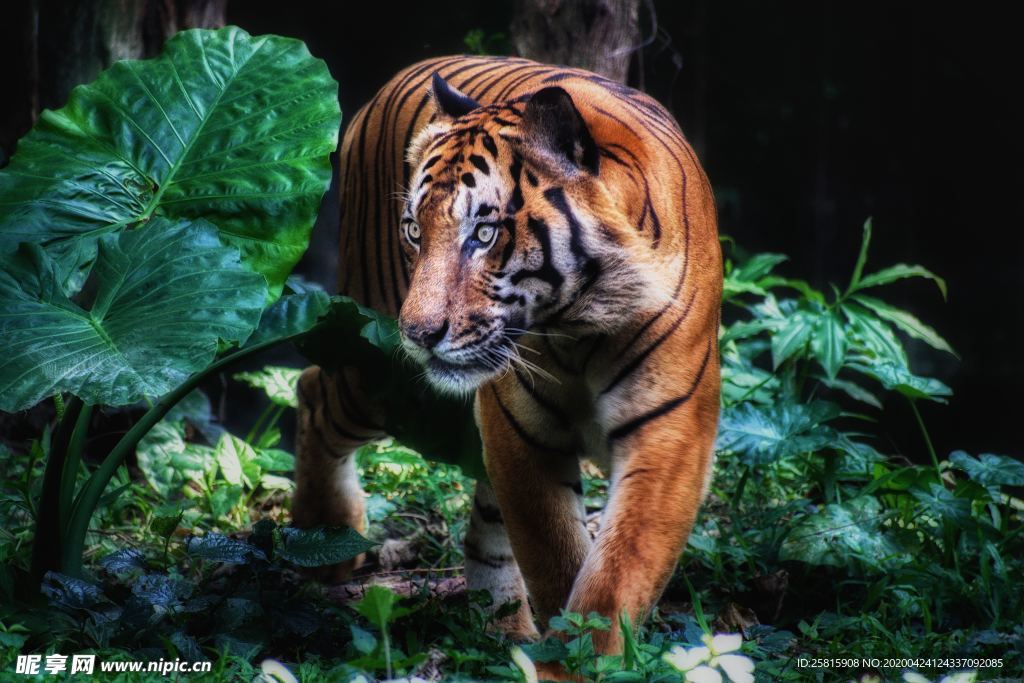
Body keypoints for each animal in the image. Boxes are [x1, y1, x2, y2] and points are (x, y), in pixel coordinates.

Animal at [288, 54, 720, 671]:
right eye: (414, 230)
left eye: (485, 233)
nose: (418, 335)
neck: (581, 323)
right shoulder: (520, 427)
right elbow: (555, 557)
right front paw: (568, 661)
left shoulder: (670, 433)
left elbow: (616, 574)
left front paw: (588, 659)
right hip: (377, 370)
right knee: (312, 389)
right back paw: (325, 539)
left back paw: (500, 628)